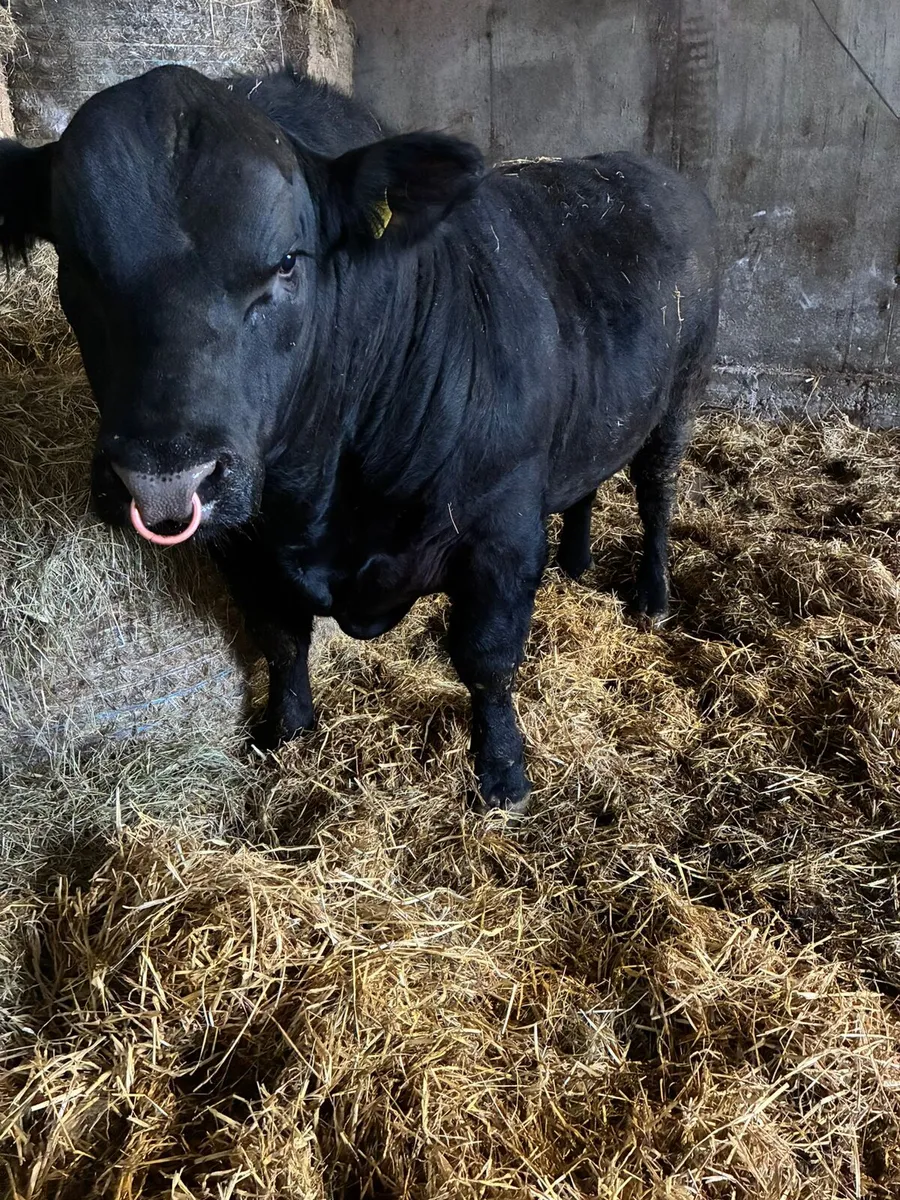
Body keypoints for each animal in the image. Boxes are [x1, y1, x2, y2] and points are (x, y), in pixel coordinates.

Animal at [0, 66, 719, 811]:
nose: (165, 481)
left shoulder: (501, 532)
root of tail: (641, 168)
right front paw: (286, 730)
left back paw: (652, 598)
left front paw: (503, 777)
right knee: (586, 483)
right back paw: (577, 563)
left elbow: (487, 660)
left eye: (288, 262)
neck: (319, 497)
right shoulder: (243, 544)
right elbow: (280, 638)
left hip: (681, 394)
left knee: (656, 493)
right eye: (76, 264)